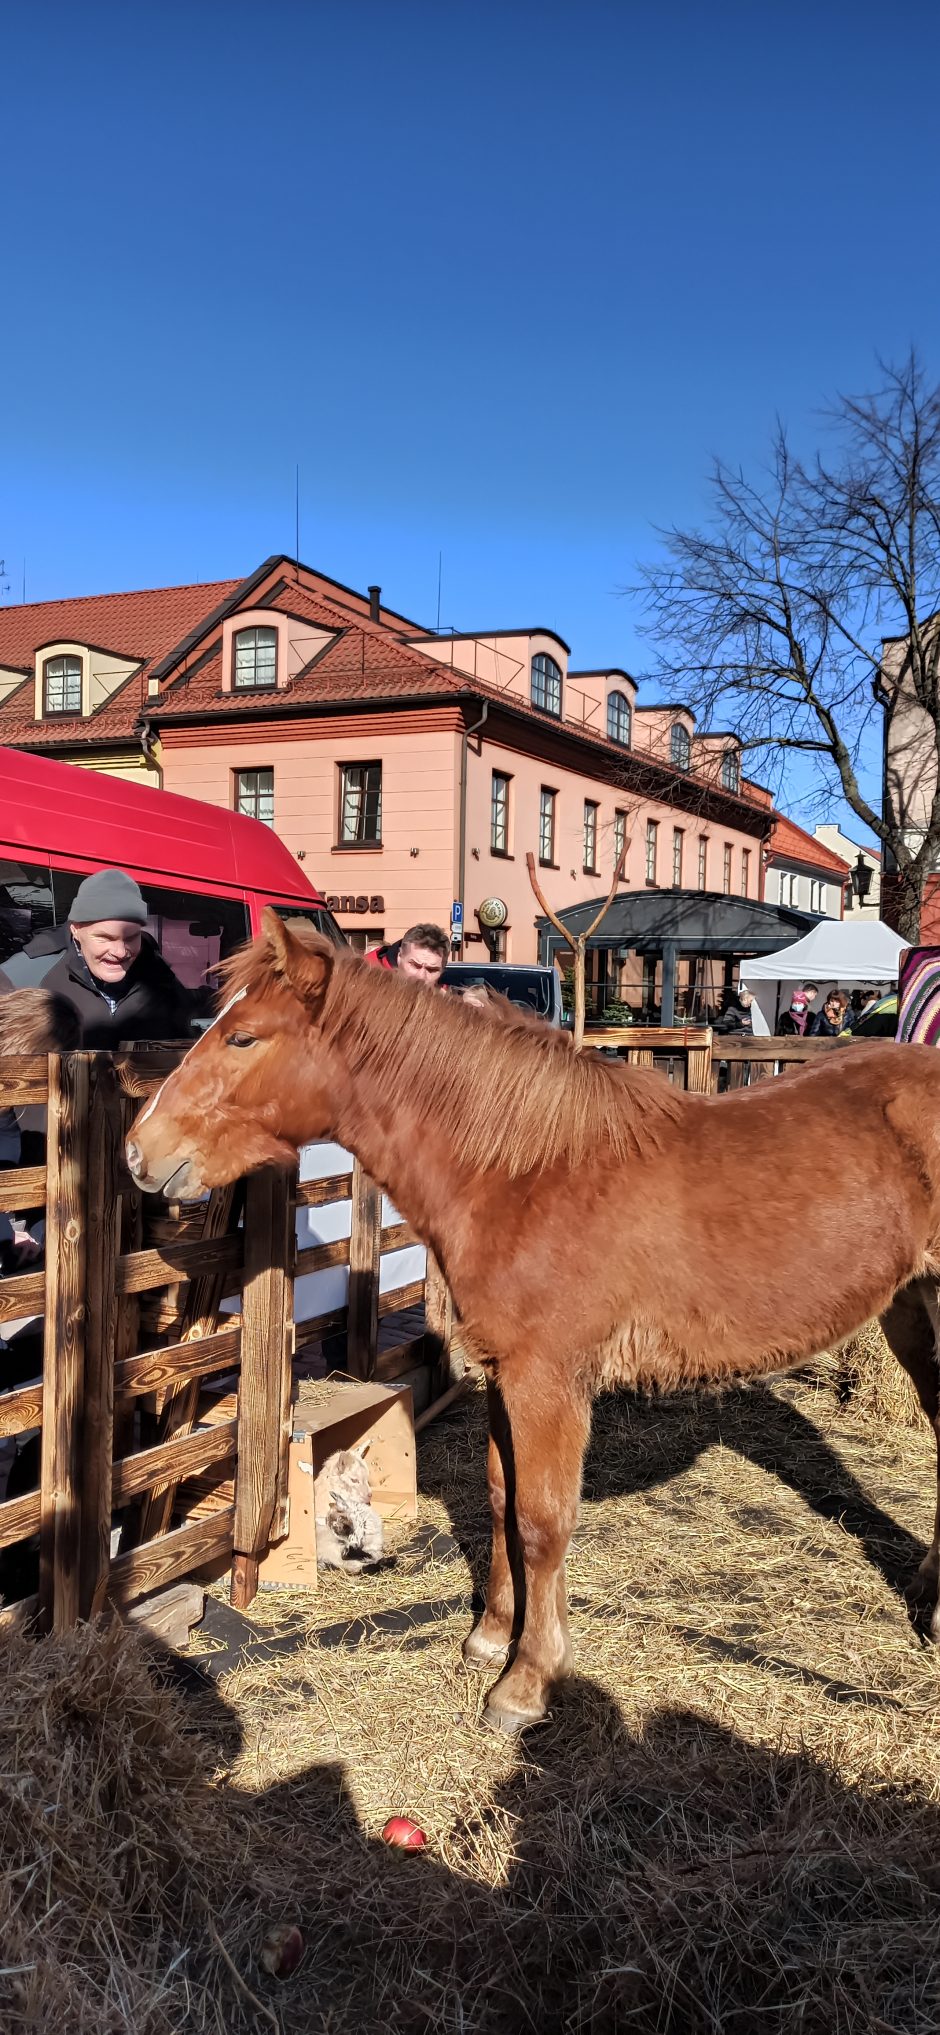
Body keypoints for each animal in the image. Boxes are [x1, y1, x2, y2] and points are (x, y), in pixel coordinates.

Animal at [126, 923, 940, 1733]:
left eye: (243, 1037)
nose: (140, 1149)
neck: (524, 1173)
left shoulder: (547, 1382)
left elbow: (542, 1520)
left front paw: (526, 1681)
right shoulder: (500, 1376)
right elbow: (499, 1498)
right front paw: (491, 1634)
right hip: (913, 1313)